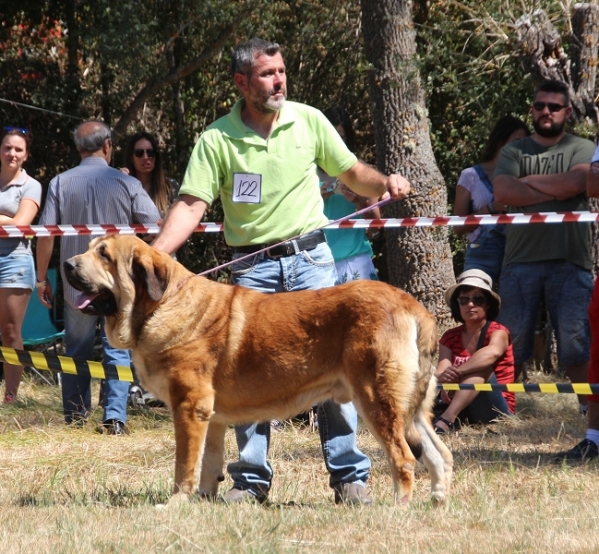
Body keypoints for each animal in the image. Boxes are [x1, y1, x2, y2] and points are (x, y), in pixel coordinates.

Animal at [63, 235, 452, 502]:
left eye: (104, 255)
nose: (66, 265)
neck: (161, 305)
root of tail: (411, 304)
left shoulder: (189, 407)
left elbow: (184, 464)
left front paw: (176, 503)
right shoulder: (211, 415)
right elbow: (210, 462)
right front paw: (203, 502)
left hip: (376, 398)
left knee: (404, 458)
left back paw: (399, 507)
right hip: (411, 408)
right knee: (439, 454)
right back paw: (437, 500)